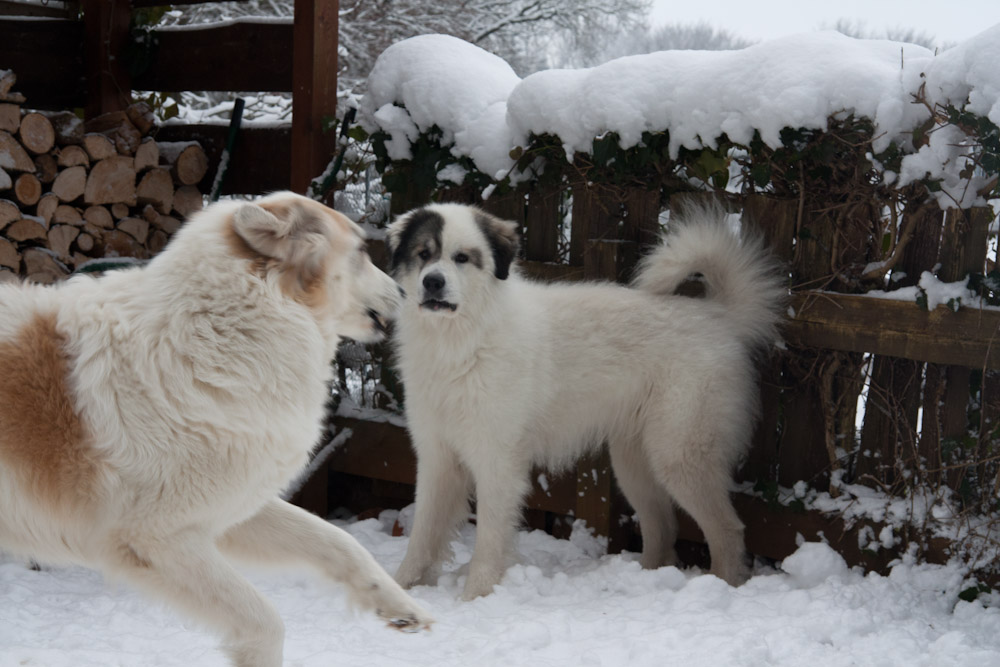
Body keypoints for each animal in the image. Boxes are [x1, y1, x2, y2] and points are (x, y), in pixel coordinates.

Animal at [0, 189, 430, 667]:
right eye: (360, 252)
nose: (406, 292)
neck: (216, 337)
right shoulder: (158, 541)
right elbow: (265, 622)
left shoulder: (228, 512)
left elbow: (339, 542)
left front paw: (399, 605)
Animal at [386, 202, 784, 600]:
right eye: (423, 255)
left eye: (462, 258)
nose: (432, 282)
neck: (461, 341)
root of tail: (721, 317)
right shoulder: (436, 457)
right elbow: (423, 532)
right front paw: (401, 586)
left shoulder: (497, 461)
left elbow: (488, 540)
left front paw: (477, 597)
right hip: (634, 463)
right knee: (663, 527)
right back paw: (644, 578)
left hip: (681, 455)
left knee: (727, 528)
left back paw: (723, 584)